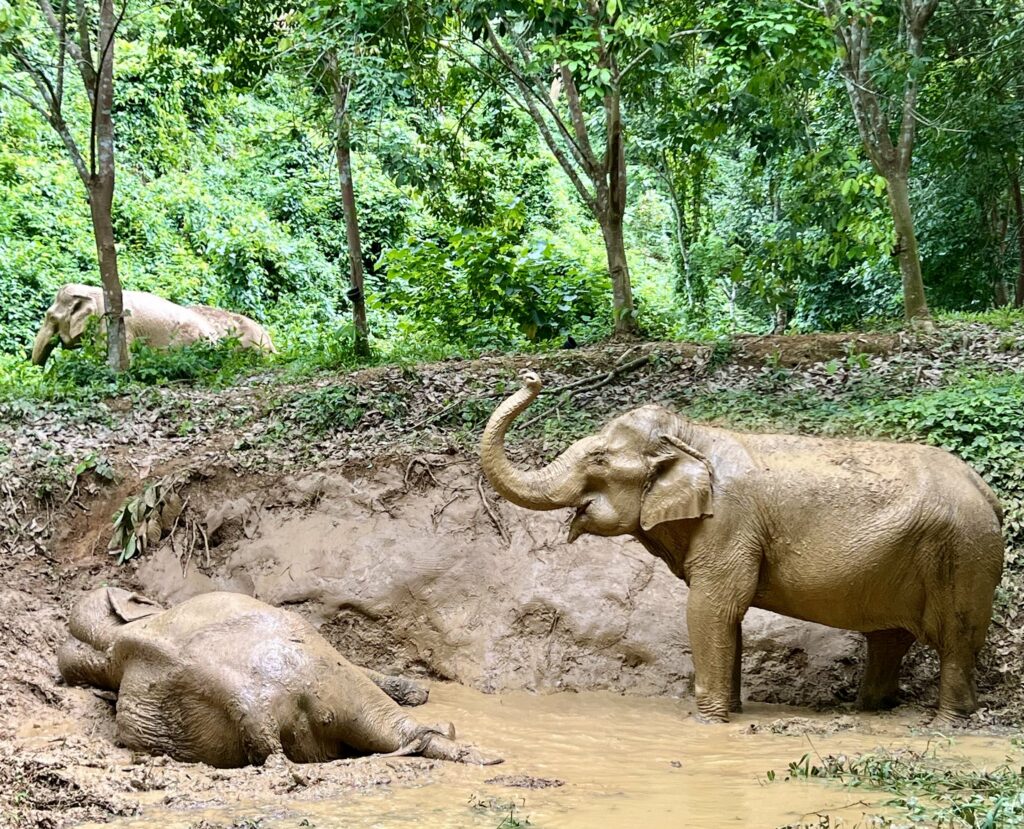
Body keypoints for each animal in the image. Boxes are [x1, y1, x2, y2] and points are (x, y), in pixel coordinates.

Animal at [481, 370, 1007, 720]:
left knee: (957, 640)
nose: (532, 376)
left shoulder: (729, 522)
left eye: (599, 459)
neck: (693, 433)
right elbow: (727, 617)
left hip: (965, 556)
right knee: (890, 638)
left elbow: (712, 607)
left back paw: (947, 720)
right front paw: (730, 712)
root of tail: (987, 492)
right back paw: (872, 710)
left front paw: (708, 721)